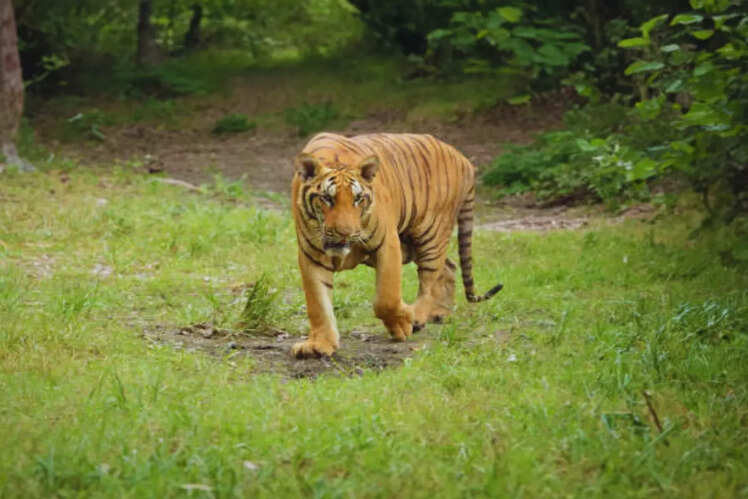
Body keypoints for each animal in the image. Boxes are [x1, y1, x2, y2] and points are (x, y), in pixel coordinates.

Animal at [291, 132, 502, 358]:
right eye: (327, 198)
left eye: (358, 199)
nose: (346, 233)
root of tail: (464, 159)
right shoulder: (311, 256)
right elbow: (318, 305)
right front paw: (319, 344)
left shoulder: (387, 243)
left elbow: (386, 297)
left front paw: (402, 324)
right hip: (414, 243)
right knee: (449, 267)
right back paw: (440, 313)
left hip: (430, 235)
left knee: (429, 280)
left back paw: (418, 317)